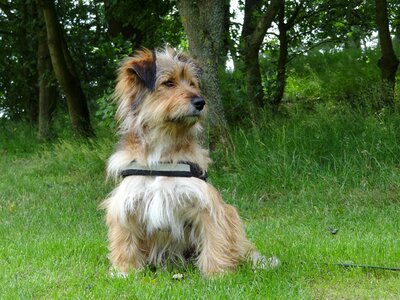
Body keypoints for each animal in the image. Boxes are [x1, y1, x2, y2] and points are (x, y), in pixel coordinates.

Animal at [102, 47, 278, 276]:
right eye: (169, 83)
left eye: (192, 83)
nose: (200, 102)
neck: (163, 152)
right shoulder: (127, 203)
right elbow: (125, 241)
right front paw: (125, 271)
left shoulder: (206, 203)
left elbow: (214, 238)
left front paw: (217, 274)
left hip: (232, 217)